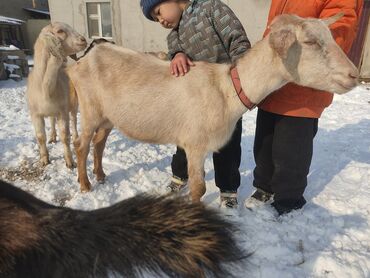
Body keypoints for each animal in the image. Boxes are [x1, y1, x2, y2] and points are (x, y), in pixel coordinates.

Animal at [27, 22, 86, 167]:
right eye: (60, 31)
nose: (83, 40)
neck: (44, 88)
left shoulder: (62, 112)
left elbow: (65, 136)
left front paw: (70, 162)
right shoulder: (35, 114)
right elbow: (40, 137)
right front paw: (44, 160)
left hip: (73, 104)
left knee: (73, 120)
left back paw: (75, 136)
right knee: (52, 121)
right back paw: (53, 136)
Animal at [67, 14, 358, 198]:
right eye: (310, 41)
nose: (354, 74)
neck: (226, 89)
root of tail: (82, 60)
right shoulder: (195, 144)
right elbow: (199, 189)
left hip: (108, 115)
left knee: (99, 142)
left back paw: (101, 175)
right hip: (90, 108)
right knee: (82, 144)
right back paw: (85, 185)